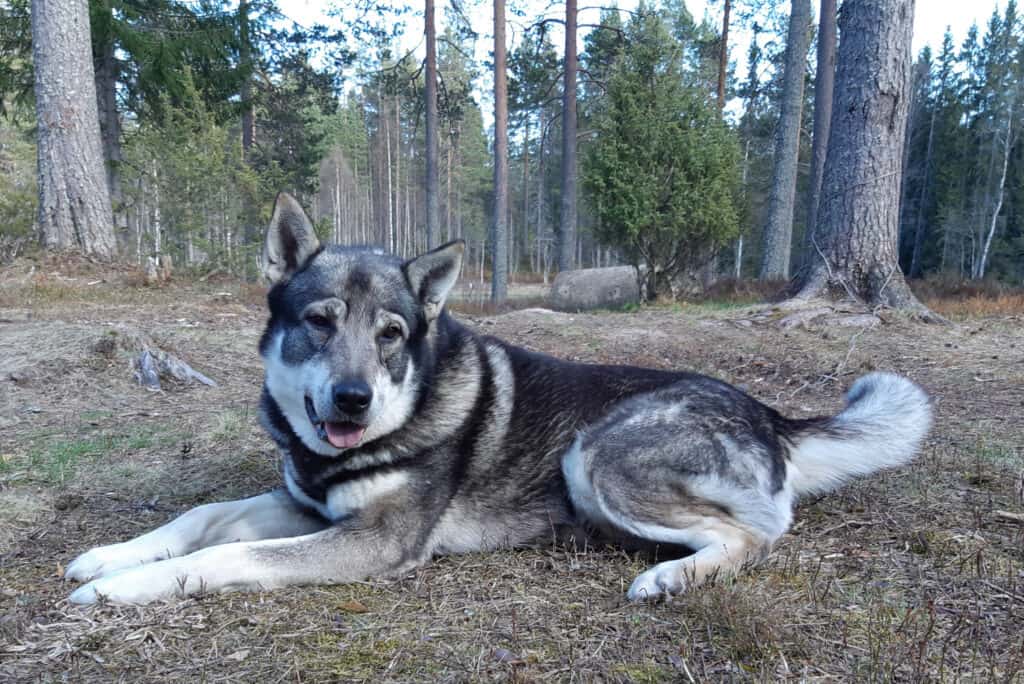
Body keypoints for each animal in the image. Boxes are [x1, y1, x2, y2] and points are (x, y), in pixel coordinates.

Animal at [61, 192, 929, 602]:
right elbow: (200, 518)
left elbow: (226, 554)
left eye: (393, 335)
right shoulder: (306, 505)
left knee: (758, 536)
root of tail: (772, 415)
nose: (352, 401)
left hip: (595, 456)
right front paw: (109, 556)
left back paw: (668, 578)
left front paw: (118, 588)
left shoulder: (372, 540)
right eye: (318, 322)